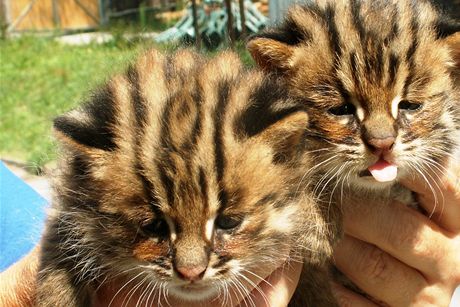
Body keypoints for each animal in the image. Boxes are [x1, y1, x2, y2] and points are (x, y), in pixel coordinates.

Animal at [35, 49, 338, 306]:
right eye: (153, 226)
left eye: (228, 222)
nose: (191, 273)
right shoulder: (66, 204)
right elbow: (56, 253)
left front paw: (312, 230)